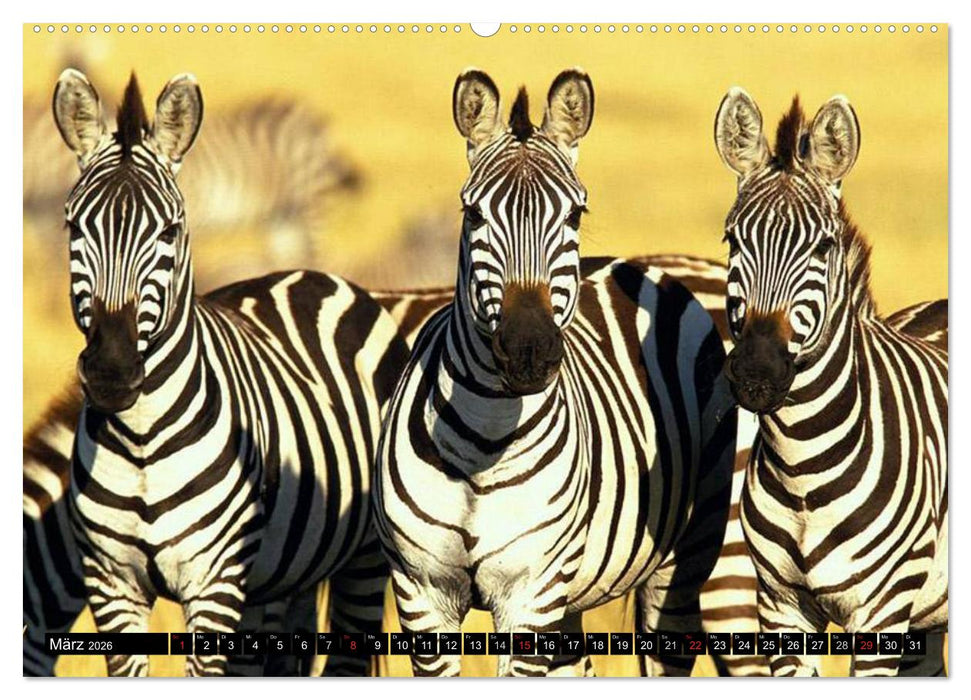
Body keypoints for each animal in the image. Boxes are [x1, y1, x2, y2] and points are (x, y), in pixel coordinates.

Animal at [52, 69, 409, 676]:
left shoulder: (213, 583)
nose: (111, 373)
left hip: (362, 560)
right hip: (283, 574)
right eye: (75, 226)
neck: (141, 440)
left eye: (170, 231)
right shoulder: (111, 584)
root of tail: (311, 273)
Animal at [373, 68, 738, 678]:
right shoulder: (420, 591)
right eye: (473, 214)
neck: (485, 439)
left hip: (692, 556)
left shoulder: (532, 591)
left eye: (574, 214)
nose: (529, 350)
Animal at [713, 88, 948, 676]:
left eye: (822, 247)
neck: (803, 473)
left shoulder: (883, 611)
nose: (757, 374)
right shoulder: (779, 609)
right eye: (732, 240)